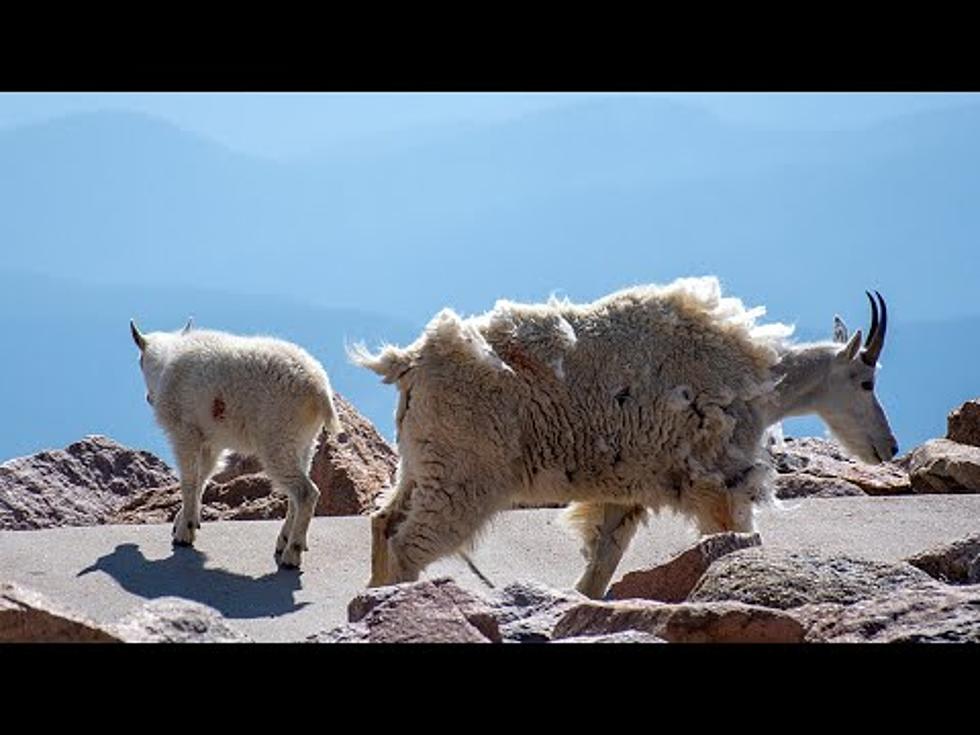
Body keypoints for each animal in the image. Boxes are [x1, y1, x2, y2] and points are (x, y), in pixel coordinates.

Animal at [129, 320, 344, 568]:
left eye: (139, 360)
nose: (148, 398)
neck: (165, 365)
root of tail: (319, 391)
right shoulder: (210, 440)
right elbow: (203, 476)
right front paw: (187, 521)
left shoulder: (185, 432)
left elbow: (189, 479)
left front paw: (184, 533)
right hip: (304, 441)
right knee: (296, 491)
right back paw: (284, 541)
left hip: (278, 439)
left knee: (305, 493)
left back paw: (292, 553)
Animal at [350, 276, 896, 600]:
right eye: (867, 382)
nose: (888, 448)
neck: (763, 380)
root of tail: (408, 363)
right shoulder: (721, 478)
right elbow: (737, 539)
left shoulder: (626, 486)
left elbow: (602, 561)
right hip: (464, 474)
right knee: (409, 545)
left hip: (422, 463)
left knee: (383, 521)